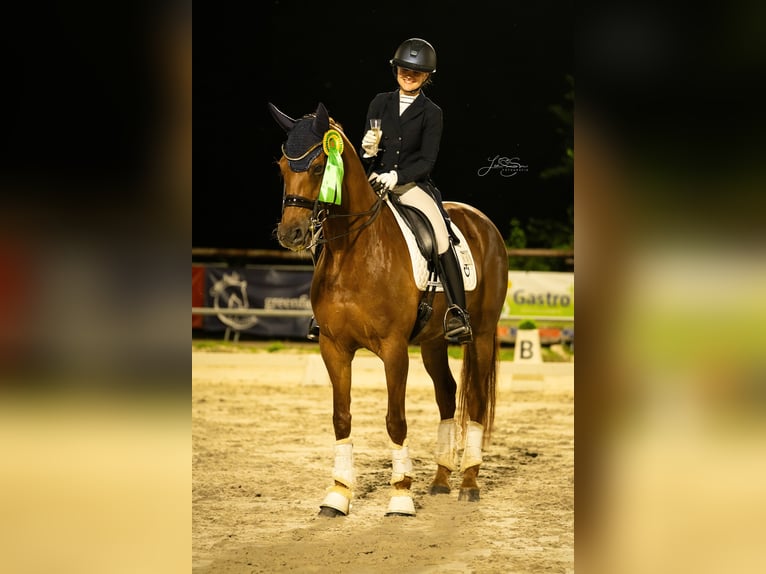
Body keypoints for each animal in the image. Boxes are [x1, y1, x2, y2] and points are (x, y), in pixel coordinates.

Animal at [268, 101, 508, 517]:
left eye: (318, 167)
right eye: (283, 166)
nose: (290, 234)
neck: (353, 253)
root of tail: (484, 223)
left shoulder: (394, 349)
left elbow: (396, 420)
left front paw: (400, 497)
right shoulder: (333, 347)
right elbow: (341, 418)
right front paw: (338, 495)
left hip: (480, 333)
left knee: (476, 400)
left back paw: (469, 482)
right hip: (432, 341)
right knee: (447, 395)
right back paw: (441, 479)